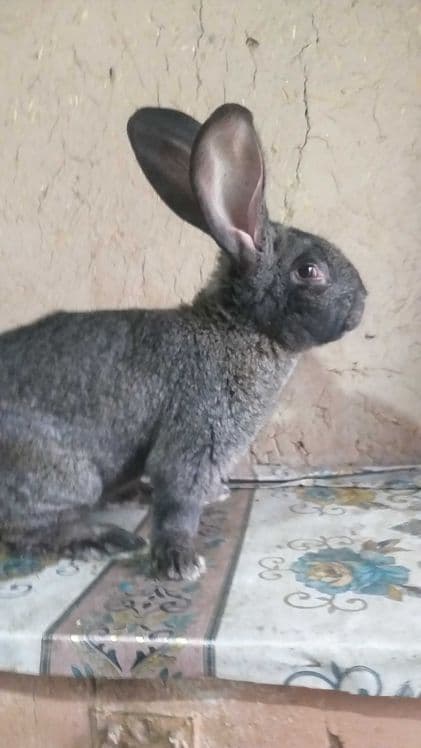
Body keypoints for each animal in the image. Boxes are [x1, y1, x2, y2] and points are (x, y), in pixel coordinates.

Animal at [0, 103, 366, 579]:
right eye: (309, 271)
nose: (363, 302)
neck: (236, 327)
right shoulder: (195, 439)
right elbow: (178, 504)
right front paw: (179, 561)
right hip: (60, 470)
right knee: (25, 527)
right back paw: (102, 537)